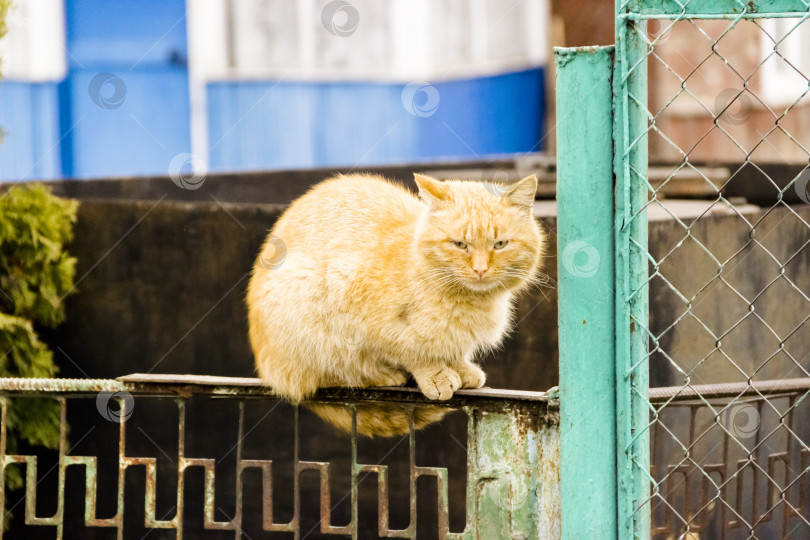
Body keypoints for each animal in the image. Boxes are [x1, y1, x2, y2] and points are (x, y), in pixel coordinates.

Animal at [246, 173, 544, 434]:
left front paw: (461, 368)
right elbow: (413, 351)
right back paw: (379, 375)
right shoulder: (369, 319)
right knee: (318, 378)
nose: (480, 270)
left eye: (500, 244)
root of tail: (264, 366)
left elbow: (453, 350)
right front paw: (435, 374)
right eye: (459, 244)